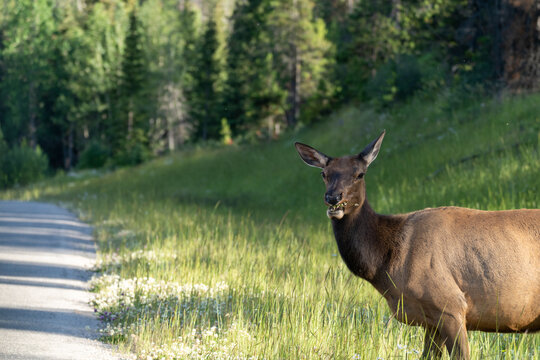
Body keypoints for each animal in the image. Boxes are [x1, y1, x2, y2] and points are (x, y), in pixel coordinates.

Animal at [296, 131, 540, 358]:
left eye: (360, 174)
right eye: (324, 174)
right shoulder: (429, 319)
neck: (386, 265)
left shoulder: (450, 304)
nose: (333, 198)